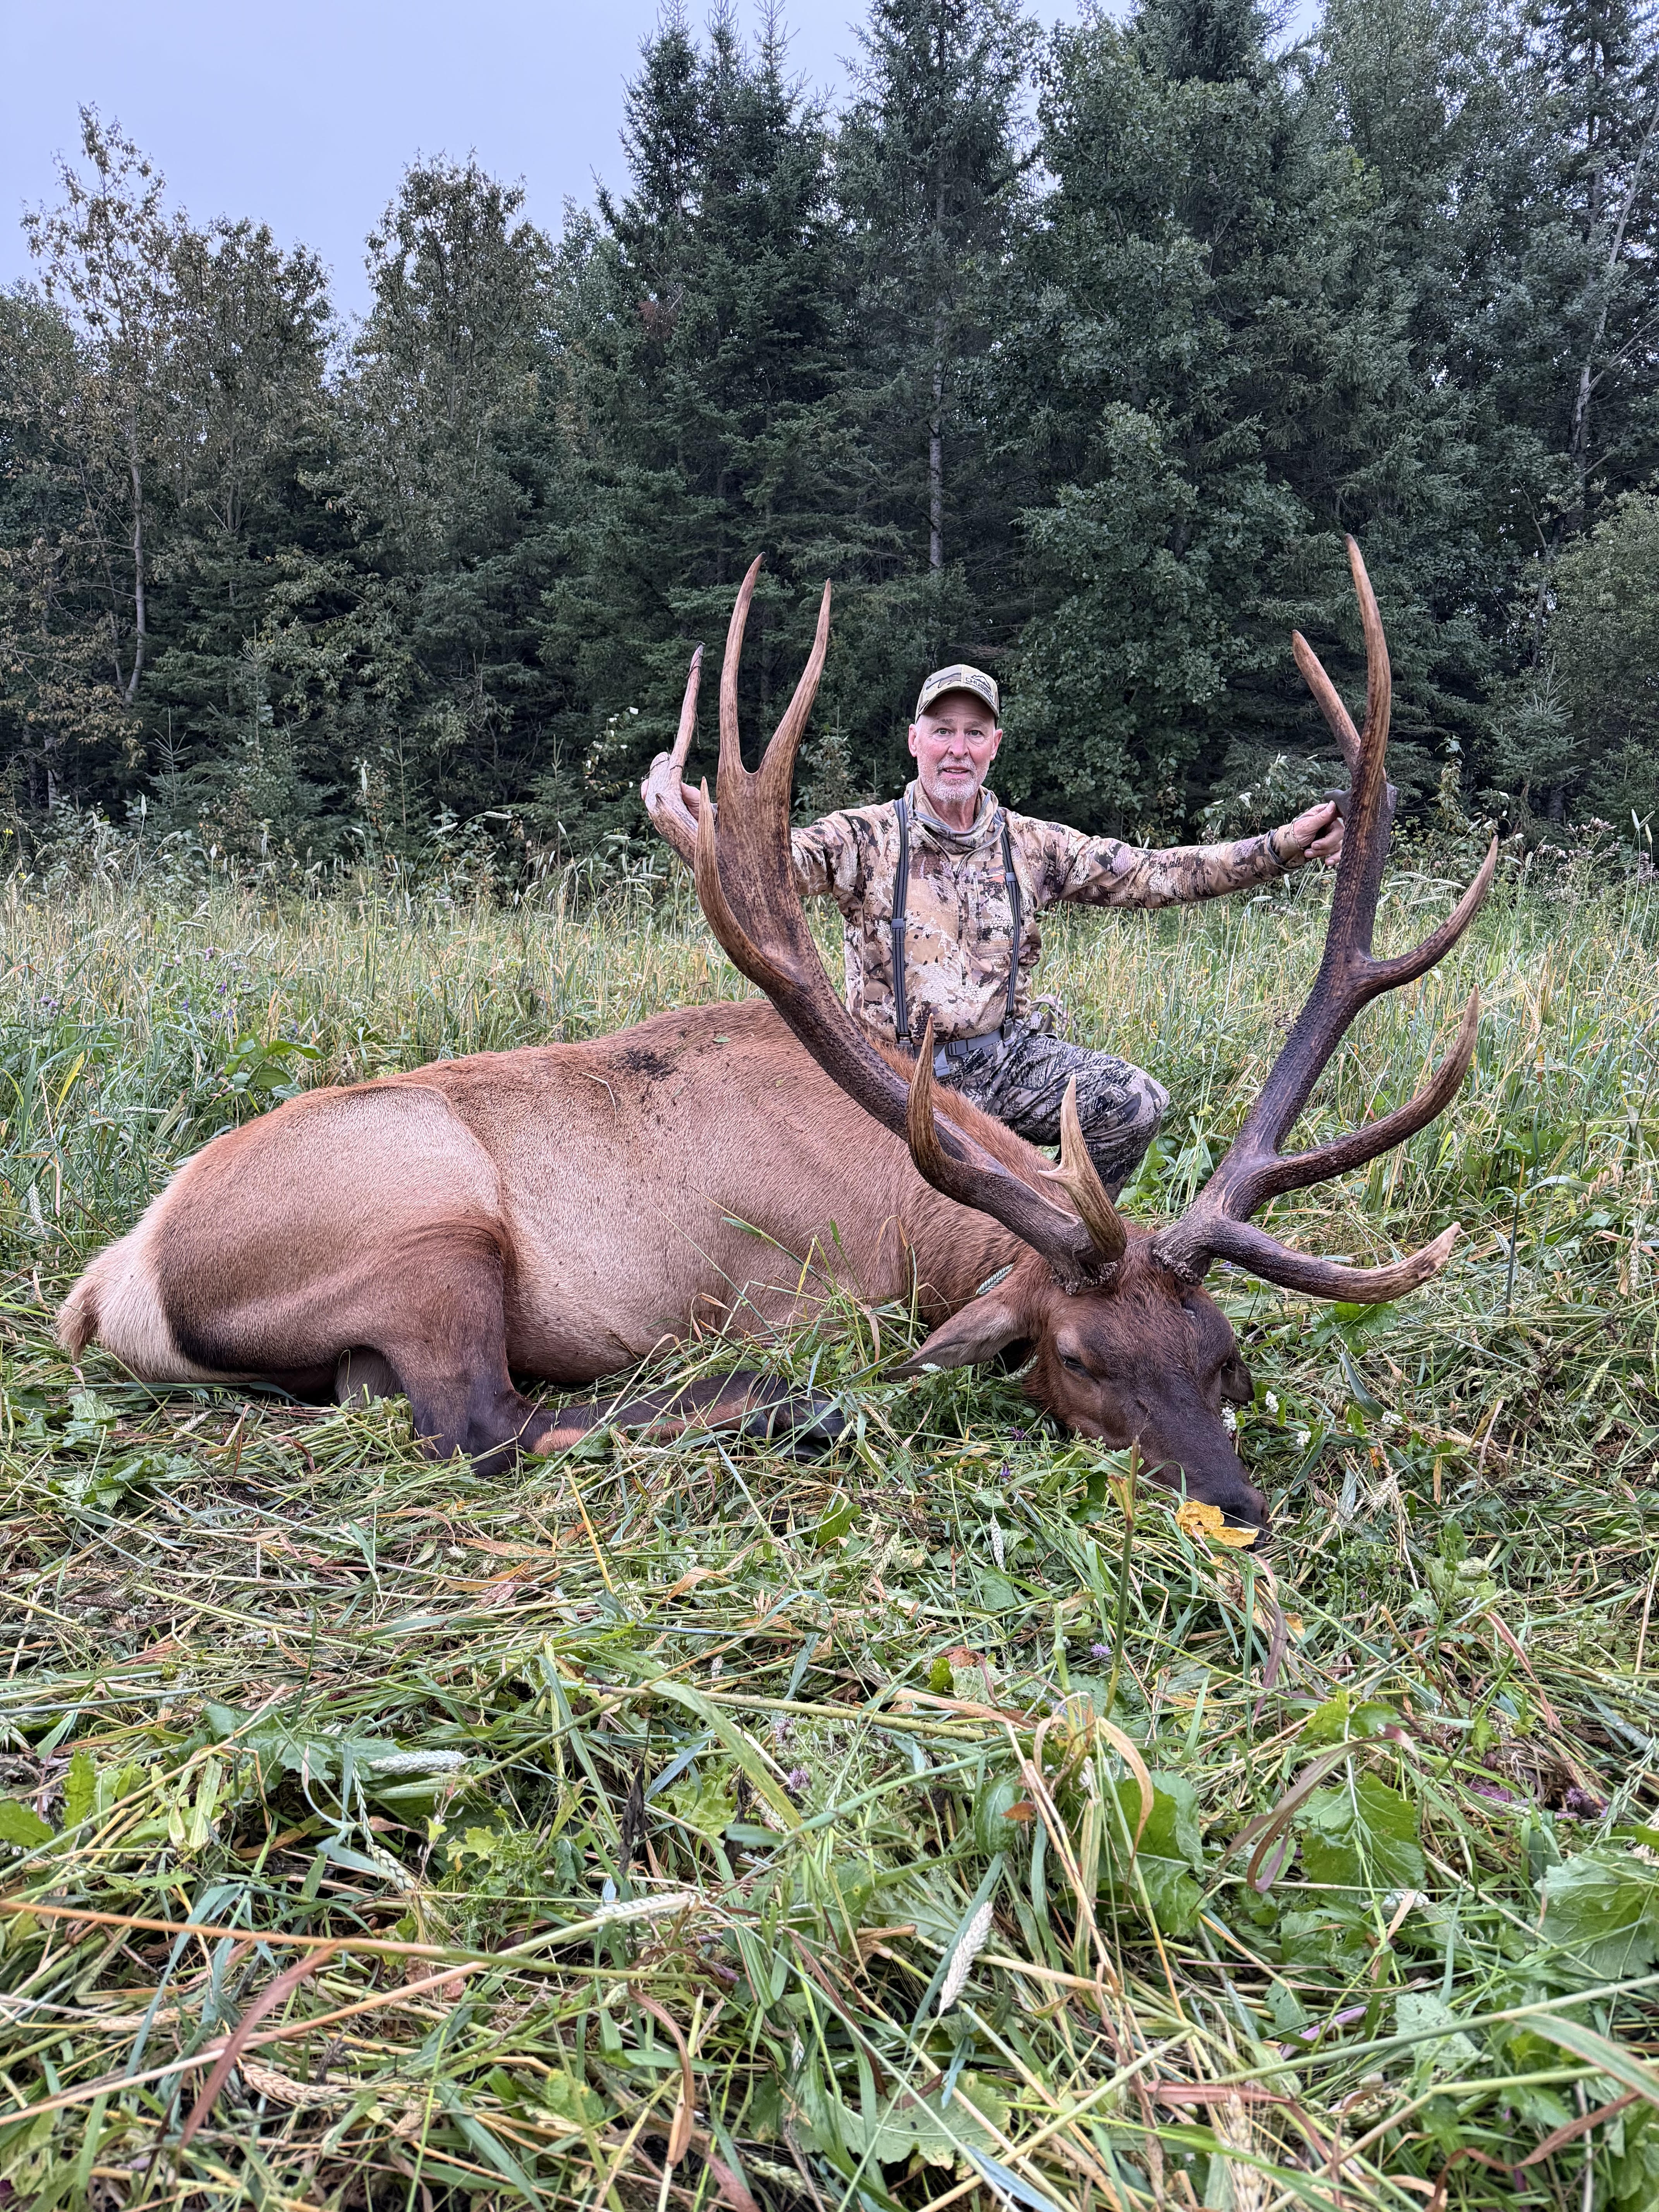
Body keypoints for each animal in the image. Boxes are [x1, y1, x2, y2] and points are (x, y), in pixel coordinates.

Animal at [58, 540, 1494, 1533]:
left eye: (1219, 1351)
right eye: (1078, 1357)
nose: (1233, 1511)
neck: (913, 1223)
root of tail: (112, 1281)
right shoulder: (794, 1297)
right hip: (426, 1221)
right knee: (480, 1423)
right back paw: (780, 1413)